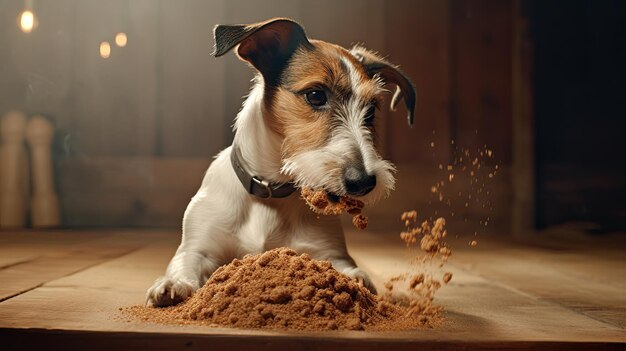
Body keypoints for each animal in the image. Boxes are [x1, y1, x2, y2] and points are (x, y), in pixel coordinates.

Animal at [144, 17, 412, 306]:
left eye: (371, 110)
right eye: (316, 95)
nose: (364, 182)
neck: (270, 192)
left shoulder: (329, 252)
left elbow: (344, 268)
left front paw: (357, 281)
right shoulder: (198, 248)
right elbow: (185, 264)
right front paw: (174, 284)